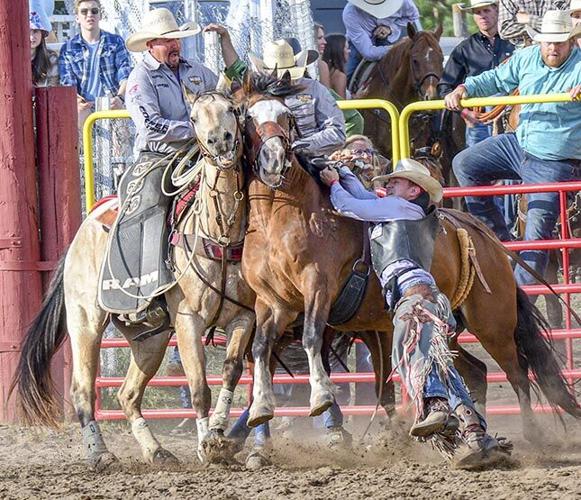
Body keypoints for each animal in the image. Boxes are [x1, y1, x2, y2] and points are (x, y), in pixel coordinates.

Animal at [10, 92, 254, 470]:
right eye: (194, 117)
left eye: (232, 109)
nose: (219, 141)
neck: (220, 234)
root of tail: (82, 231)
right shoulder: (188, 321)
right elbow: (199, 387)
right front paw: (205, 445)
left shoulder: (245, 316)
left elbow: (230, 371)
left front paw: (217, 437)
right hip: (86, 322)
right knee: (82, 390)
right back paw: (100, 454)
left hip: (150, 339)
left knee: (128, 394)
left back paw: (157, 451)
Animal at [237, 71, 580, 446]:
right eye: (247, 117)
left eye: (286, 115)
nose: (273, 158)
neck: (283, 219)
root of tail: (486, 237)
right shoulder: (272, 302)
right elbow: (260, 347)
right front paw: (260, 408)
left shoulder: (318, 287)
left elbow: (311, 335)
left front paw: (321, 397)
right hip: (450, 328)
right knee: (476, 372)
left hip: (492, 322)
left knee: (517, 371)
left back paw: (531, 434)